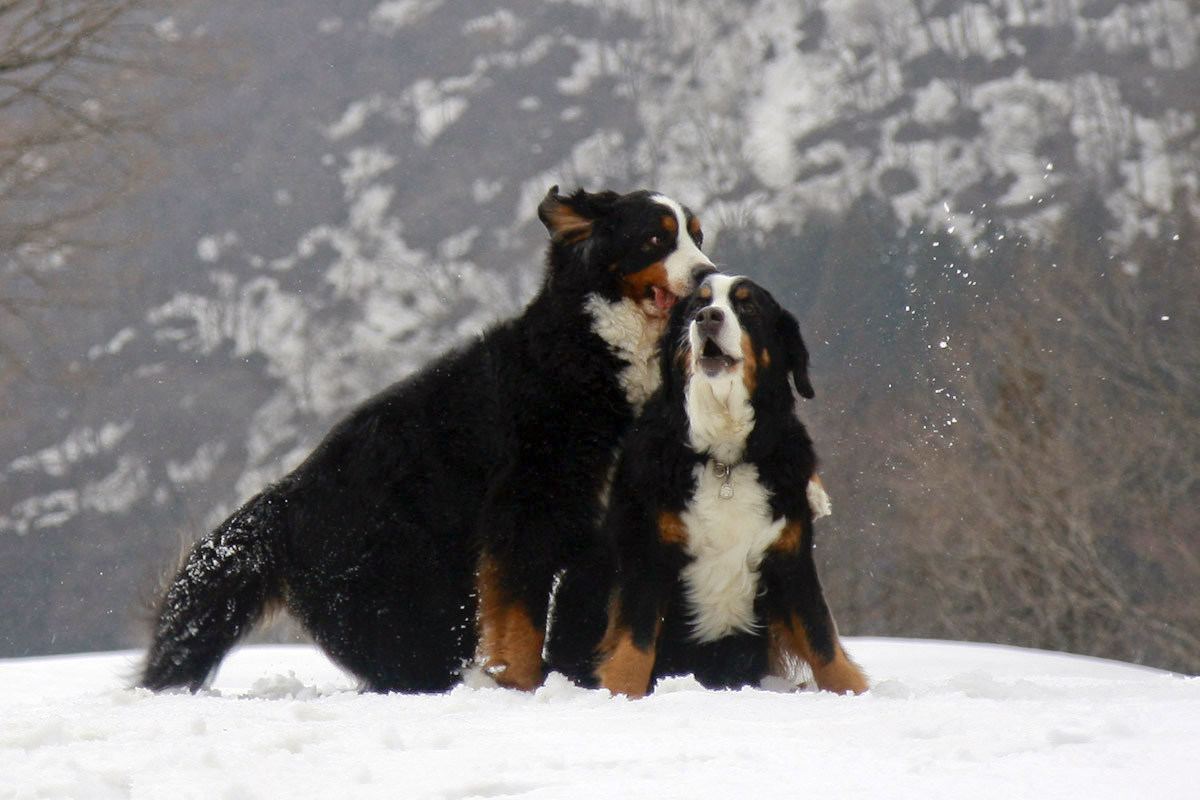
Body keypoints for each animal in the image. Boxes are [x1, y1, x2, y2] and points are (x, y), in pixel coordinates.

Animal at [145, 188, 715, 695]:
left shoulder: (606, 522)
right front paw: (521, 686)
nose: (708, 275)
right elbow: (519, 620)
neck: (599, 349)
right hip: (408, 597)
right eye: (655, 238)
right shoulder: (525, 510)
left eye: (698, 236)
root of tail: (283, 500)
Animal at [595, 273, 868, 695]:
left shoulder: (791, 557)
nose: (708, 317)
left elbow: (823, 642)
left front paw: (853, 694)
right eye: (697, 305)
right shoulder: (647, 552)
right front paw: (621, 695)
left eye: (748, 306)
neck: (724, 459)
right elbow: (635, 645)